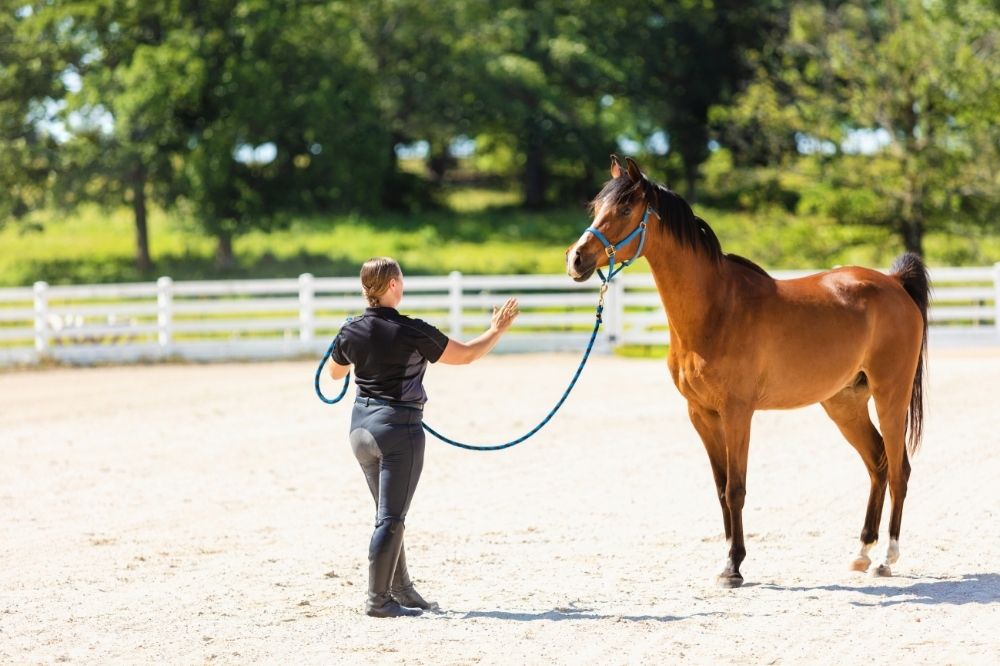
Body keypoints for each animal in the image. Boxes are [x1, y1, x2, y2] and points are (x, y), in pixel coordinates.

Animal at [566, 156, 928, 588]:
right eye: (595, 207)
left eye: (623, 209)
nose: (576, 259)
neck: (716, 310)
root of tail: (894, 283)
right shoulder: (701, 415)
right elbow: (720, 488)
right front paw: (728, 558)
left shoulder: (738, 413)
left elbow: (736, 488)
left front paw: (733, 567)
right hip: (844, 403)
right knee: (878, 463)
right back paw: (861, 553)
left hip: (891, 396)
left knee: (901, 470)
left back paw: (886, 559)